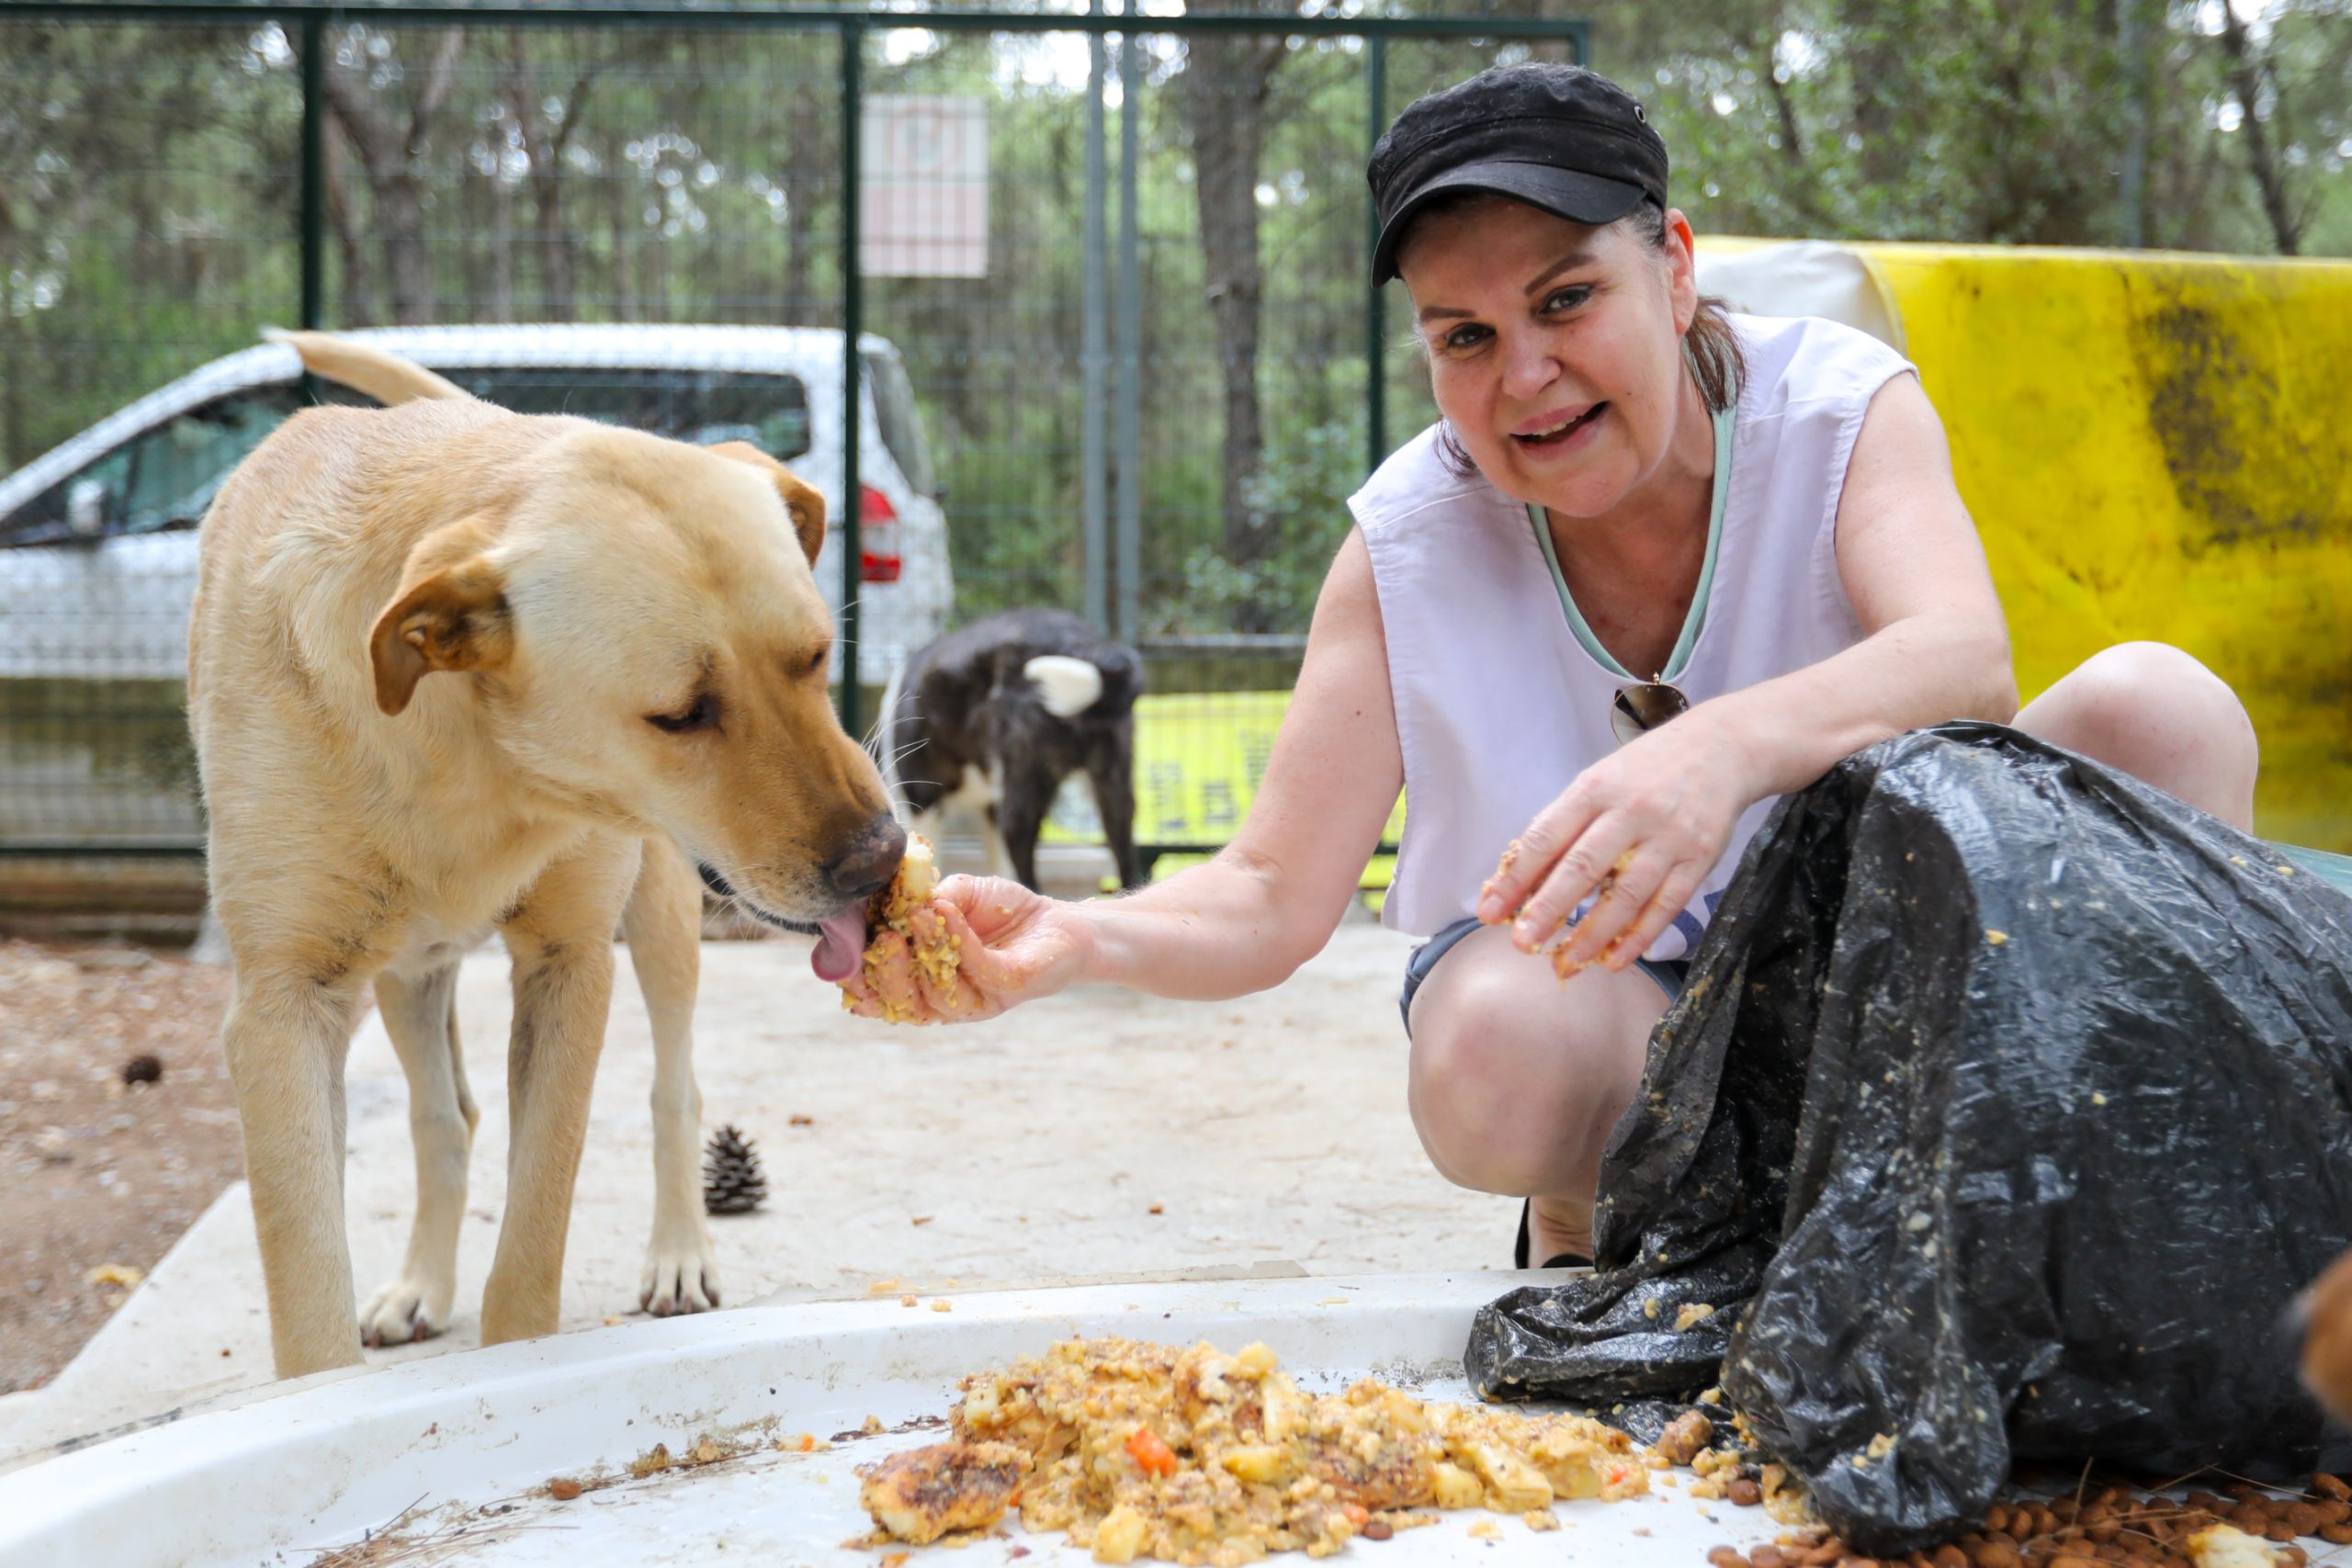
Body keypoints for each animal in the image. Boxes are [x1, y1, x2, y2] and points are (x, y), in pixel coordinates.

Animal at [181, 329, 898, 1372]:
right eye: (680, 715)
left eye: (814, 656)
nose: (883, 862)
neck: (471, 761)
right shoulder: (282, 1006)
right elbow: (307, 1281)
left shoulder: (569, 962)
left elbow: (532, 1237)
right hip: (405, 973)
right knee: (445, 1116)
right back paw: (421, 1284)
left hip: (661, 915)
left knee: (675, 1087)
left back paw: (679, 1253)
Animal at [879, 606, 1143, 888]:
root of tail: (1083, 644)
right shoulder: (988, 809)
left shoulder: (922, 801)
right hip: (1113, 785)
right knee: (1126, 856)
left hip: (1021, 786)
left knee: (1026, 868)